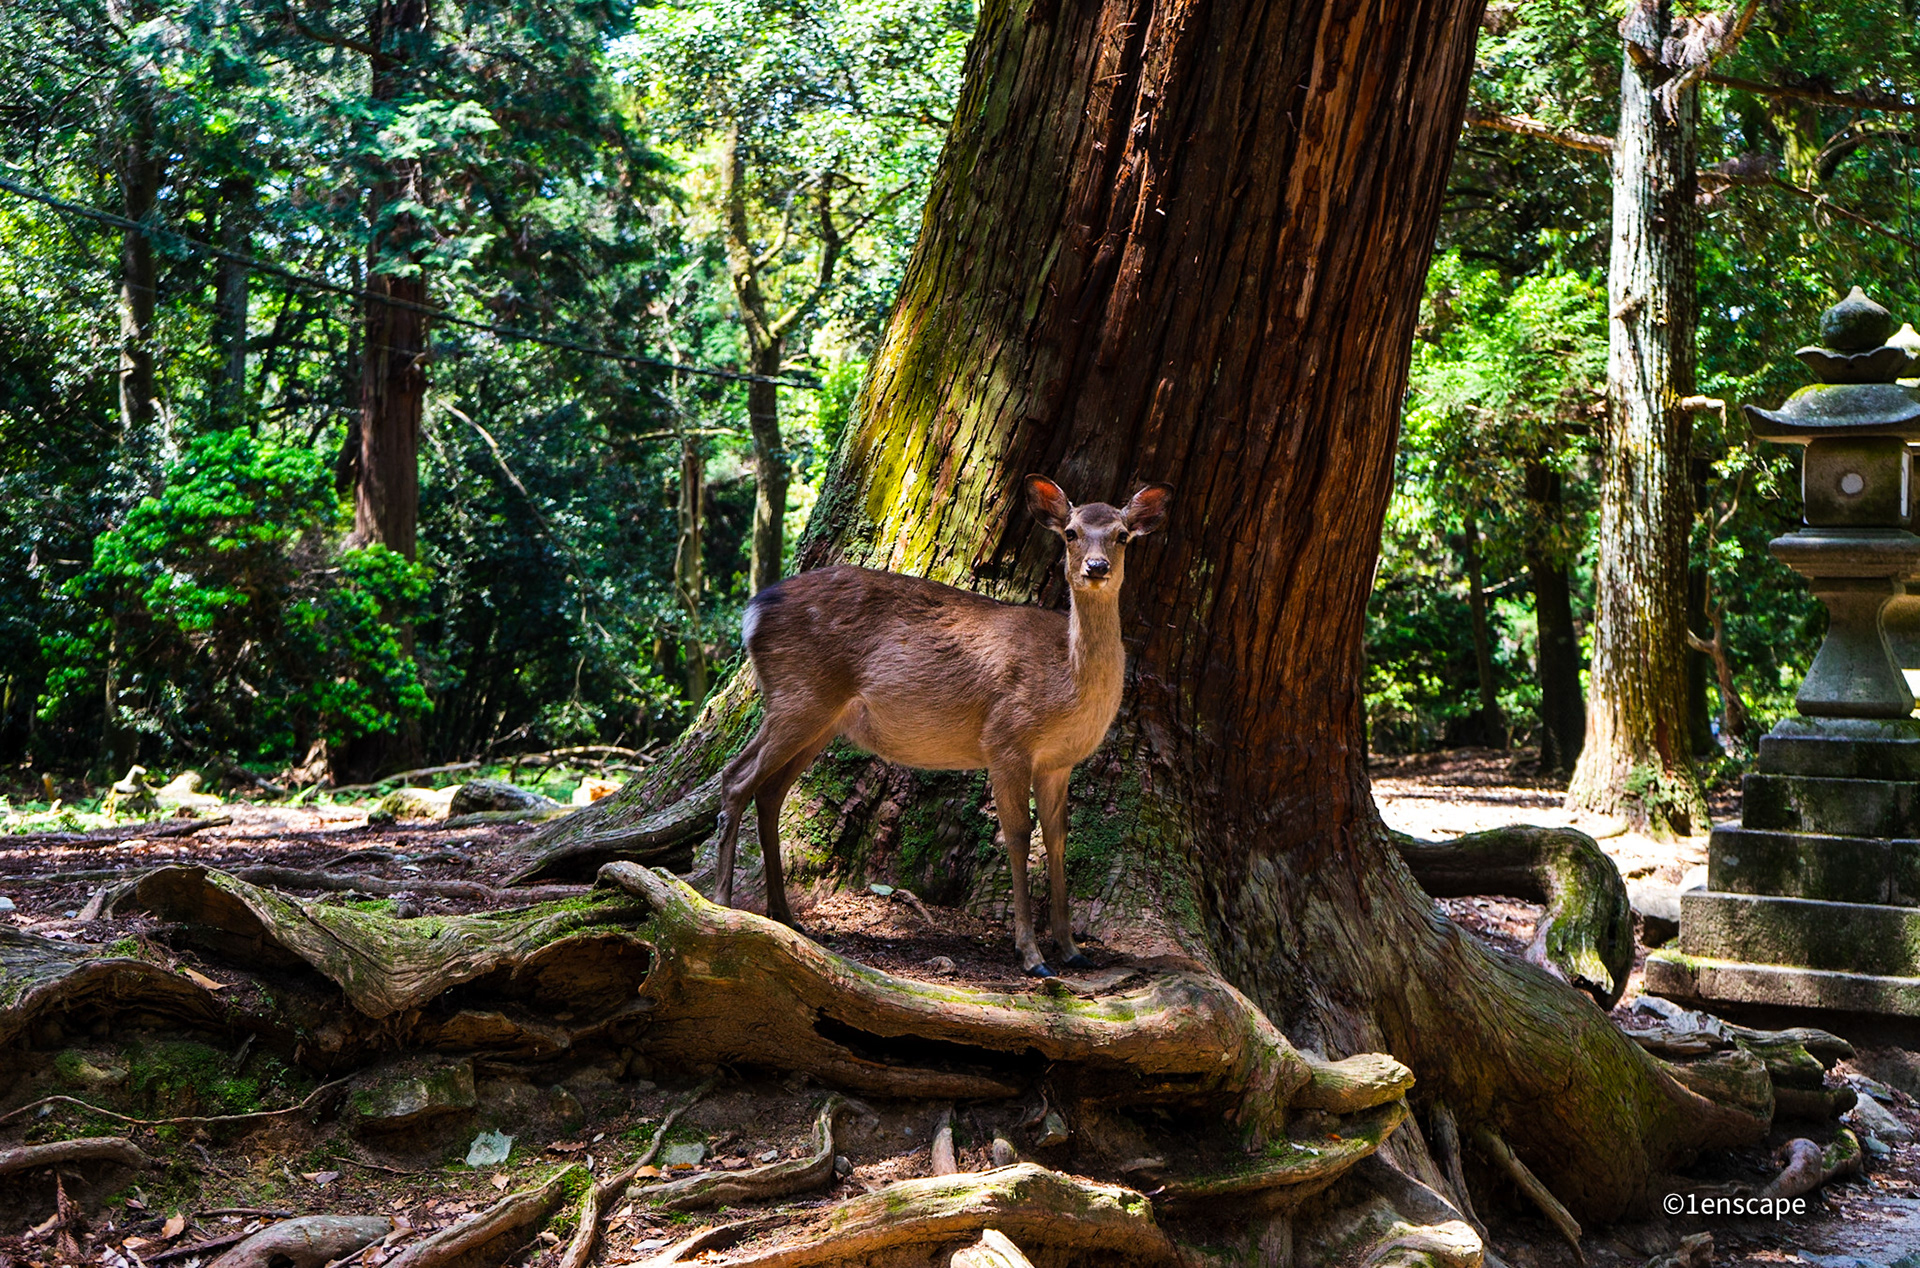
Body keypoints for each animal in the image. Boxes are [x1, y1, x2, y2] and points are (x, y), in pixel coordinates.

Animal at [712, 474, 1174, 976]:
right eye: (1070, 533)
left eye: (1122, 535)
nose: (1096, 566)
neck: (1065, 685)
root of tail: (752, 613)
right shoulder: (1005, 740)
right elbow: (1017, 837)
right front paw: (1031, 955)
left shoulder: (1058, 762)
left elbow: (1057, 838)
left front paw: (1072, 949)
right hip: (798, 695)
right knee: (735, 777)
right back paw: (722, 905)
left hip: (820, 719)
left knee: (769, 792)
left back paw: (783, 914)